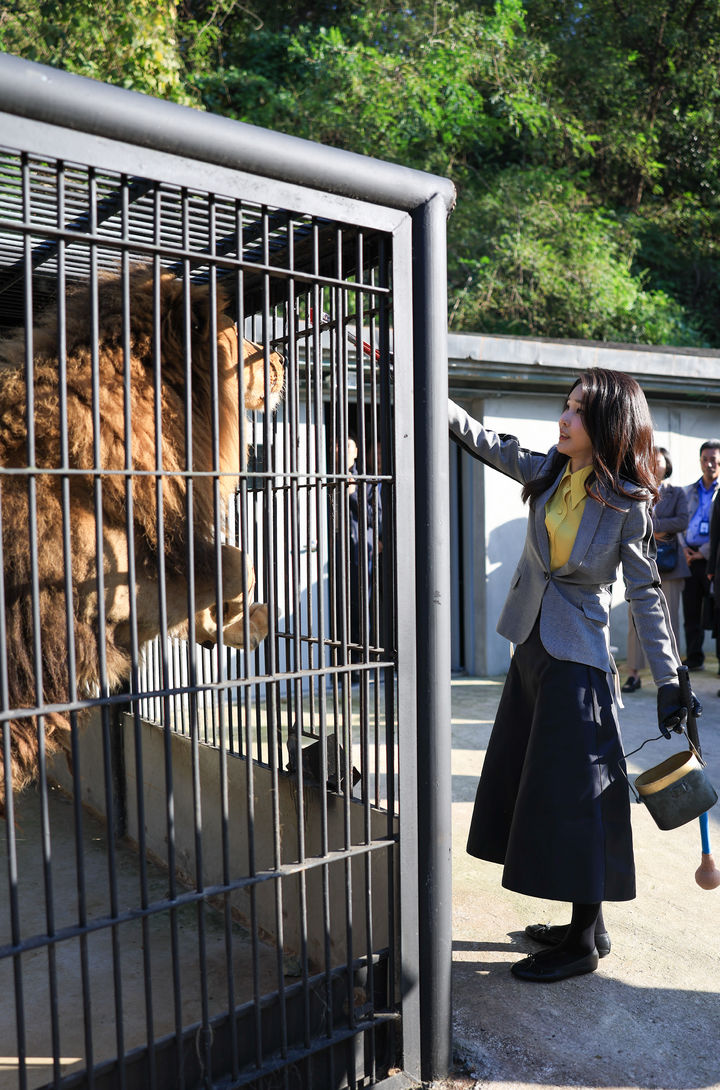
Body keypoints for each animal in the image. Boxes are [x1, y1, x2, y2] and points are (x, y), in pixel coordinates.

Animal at [0, 263, 285, 810]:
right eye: (235, 333)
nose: (280, 357)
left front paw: (232, 625)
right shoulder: (99, 588)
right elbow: (238, 562)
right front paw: (237, 615)